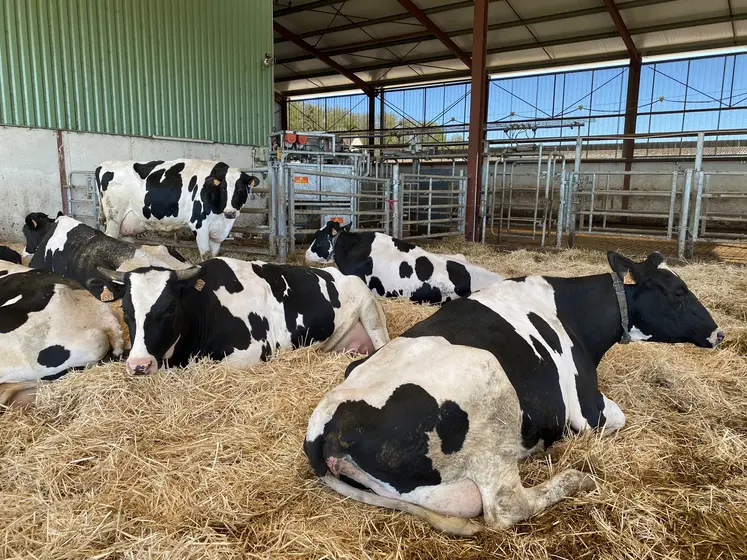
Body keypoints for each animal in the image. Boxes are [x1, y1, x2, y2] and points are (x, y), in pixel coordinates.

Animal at [95, 159, 261, 259]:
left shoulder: (219, 231)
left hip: (128, 224)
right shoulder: (199, 224)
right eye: (223, 189)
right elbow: (205, 255)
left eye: (241, 189)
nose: (230, 212)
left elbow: (214, 255)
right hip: (114, 217)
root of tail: (104, 164)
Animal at [304, 251, 724, 536]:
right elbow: (617, 417)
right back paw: (575, 479)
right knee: (506, 506)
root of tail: (326, 423)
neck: (574, 314)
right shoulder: (588, 410)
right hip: (490, 398)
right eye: (678, 293)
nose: (719, 333)